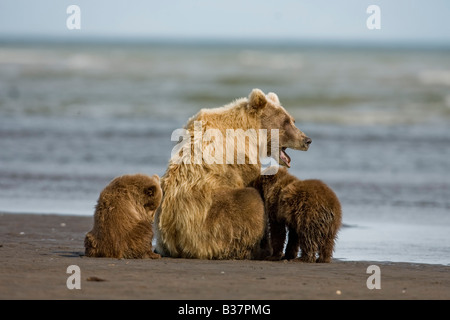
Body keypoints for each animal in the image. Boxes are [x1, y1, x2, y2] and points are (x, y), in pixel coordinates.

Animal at [153, 89, 312, 258]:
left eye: (293, 120)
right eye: (286, 122)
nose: (307, 140)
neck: (252, 132)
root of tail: (174, 238)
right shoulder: (240, 157)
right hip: (209, 221)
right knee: (251, 201)